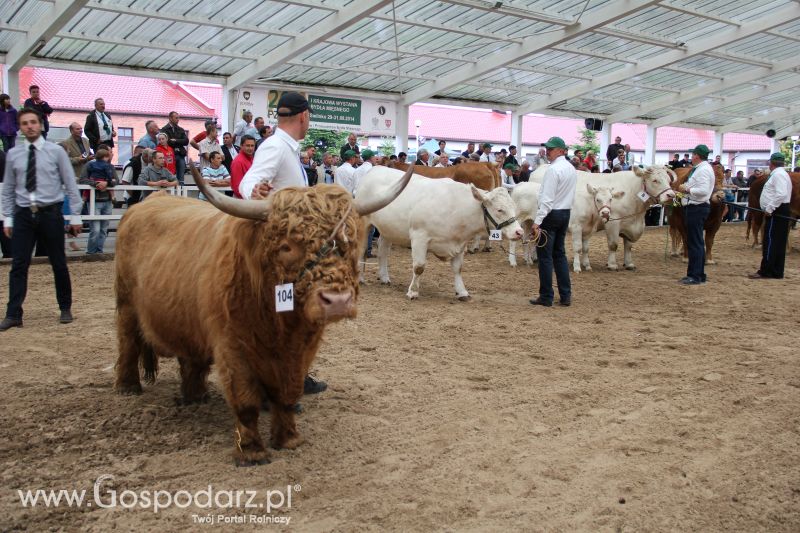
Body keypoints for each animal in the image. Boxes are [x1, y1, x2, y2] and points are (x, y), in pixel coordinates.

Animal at [114, 164, 412, 464]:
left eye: (347, 242)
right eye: (287, 246)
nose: (337, 300)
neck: (280, 324)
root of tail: (149, 202)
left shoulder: (303, 348)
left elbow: (289, 393)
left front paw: (289, 439)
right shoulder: (231, 346)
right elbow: (245, 400)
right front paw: (252, 451)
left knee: (191, 358)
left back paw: (195, 395)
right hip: (126, 305)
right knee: (128, 343)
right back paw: (128, 387)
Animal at [356, 166, 524, 300]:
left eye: (514, 206)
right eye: (499, 210)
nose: (519, 232)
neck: (456, 207)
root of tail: (375, 169)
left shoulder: (460, 244)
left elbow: (458, 268)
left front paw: (462, 292)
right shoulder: (419, 237)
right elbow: (419, 267)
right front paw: (413, 291)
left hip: (388, 229)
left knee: (383, 251)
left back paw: (384, 277)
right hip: (364, 222)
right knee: (362, 250)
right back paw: (360, 278)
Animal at [532, 163, 676, 270]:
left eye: (669, 180)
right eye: (655, 180)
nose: (671, 195)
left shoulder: (630, 224)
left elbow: (628, 246)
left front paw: (629, 263)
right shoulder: (613, 222)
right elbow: (613, 244)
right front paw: (612, 264)